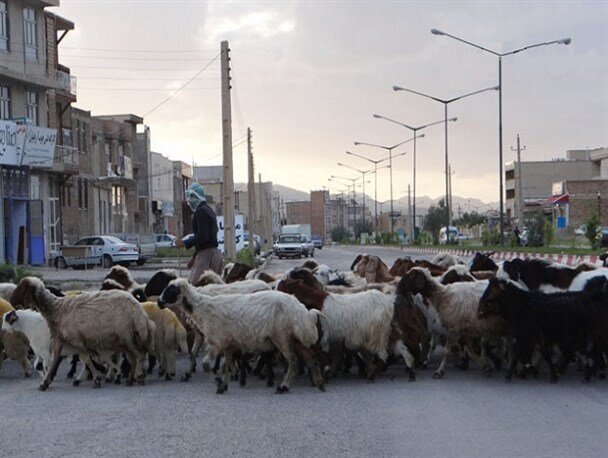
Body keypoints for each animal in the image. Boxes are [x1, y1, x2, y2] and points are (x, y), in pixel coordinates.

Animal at [158, 280, 328, 394]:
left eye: (171, 290)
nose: (159, 302)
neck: (203, 309)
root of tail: (300, 309)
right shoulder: (228, 344)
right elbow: (226, 365)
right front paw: (223, 385)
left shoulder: (218, 342)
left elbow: (206, 364)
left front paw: (218, 381)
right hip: (295, 336)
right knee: (310, 357)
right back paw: (319, 382)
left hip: (282, 336)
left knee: (294, 362)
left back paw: (283, 386)